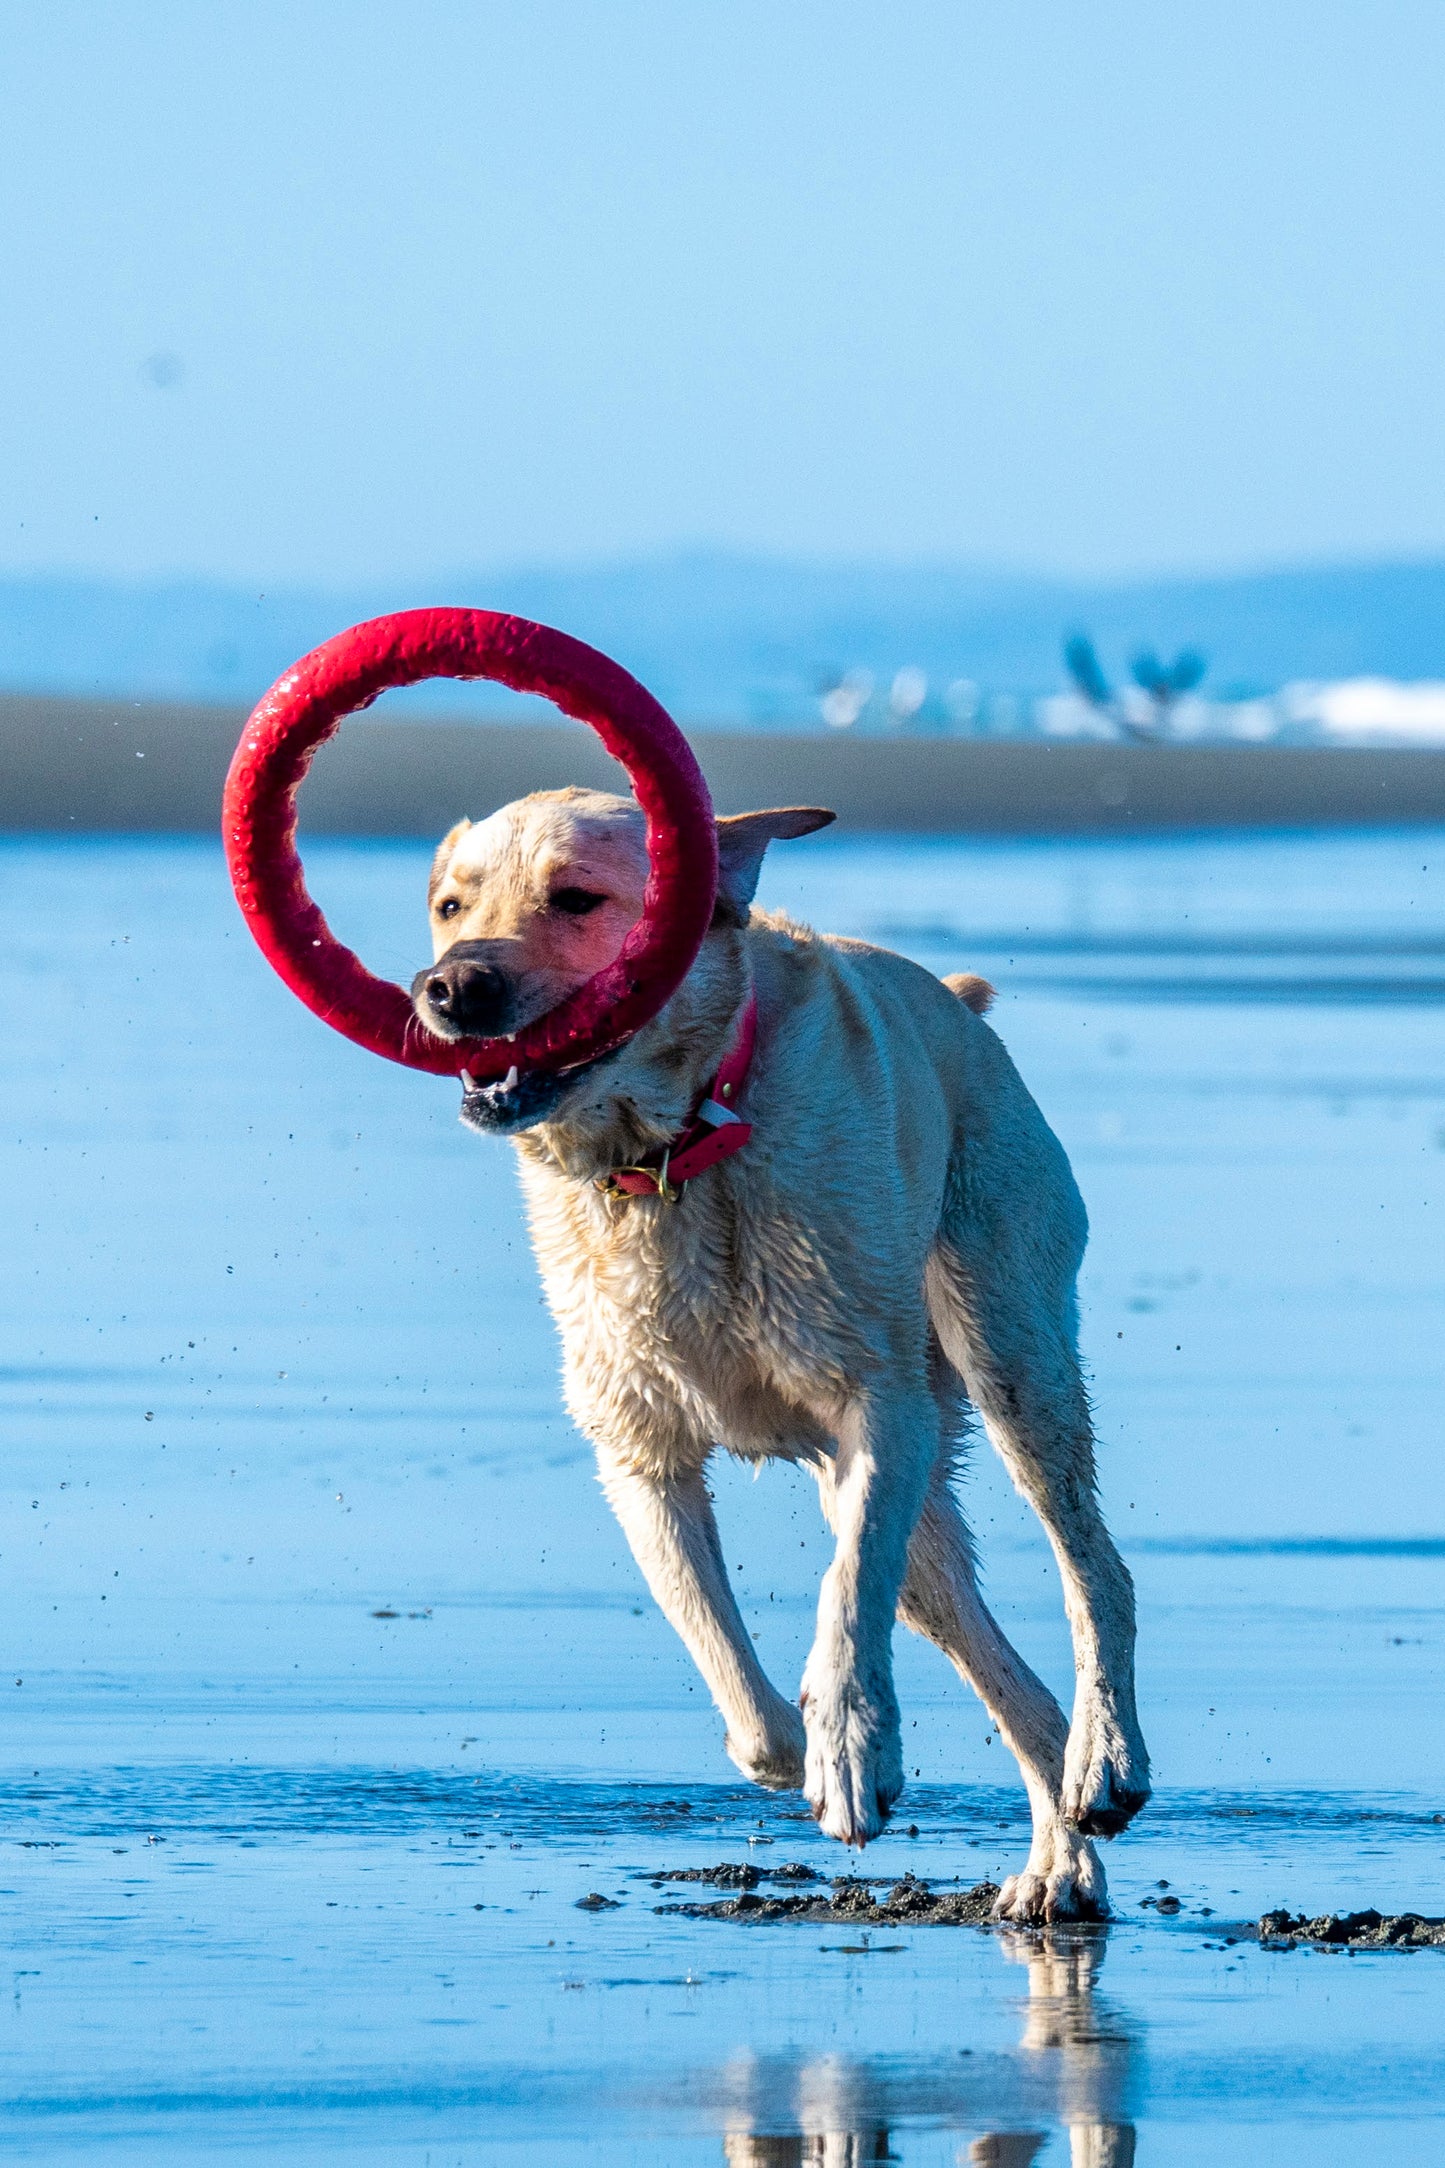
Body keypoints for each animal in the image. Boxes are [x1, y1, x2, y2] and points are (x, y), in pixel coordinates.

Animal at [409, 793, 1152, 1916]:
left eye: (576, 898)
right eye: (451, 906)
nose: (450, 988)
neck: (673, 1152)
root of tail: (963, 1011)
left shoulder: (877, 1408)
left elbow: (842, 1599)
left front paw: (847, 1751)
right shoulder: (637, 1452)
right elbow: (720, 1655)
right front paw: (799, 1747)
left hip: (1006, 1347)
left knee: (1088, 1564)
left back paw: (1103, 1764)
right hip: (923, 1521)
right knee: (983, 1650)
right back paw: (1056, 1856)